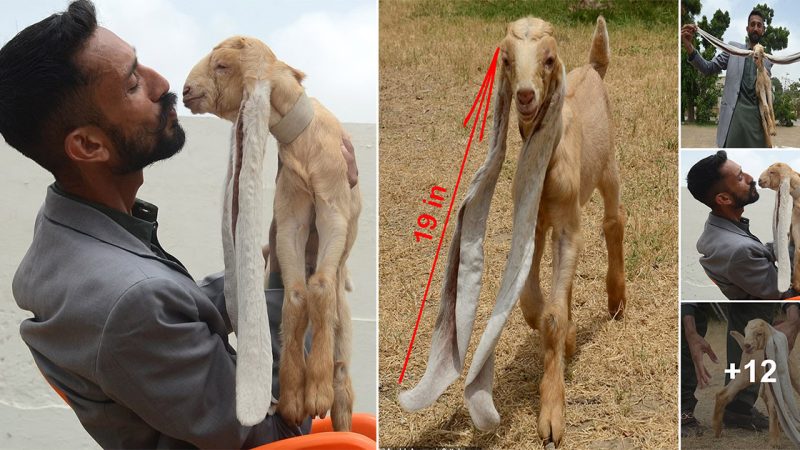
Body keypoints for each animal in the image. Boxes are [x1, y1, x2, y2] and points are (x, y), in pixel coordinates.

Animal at [184, 37, 360, 430]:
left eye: (222, 66)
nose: (185, 91)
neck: (305, 143)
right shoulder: (291, 216)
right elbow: (295, 294)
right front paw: (295, 398)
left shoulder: (333, 210)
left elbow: (319, 287)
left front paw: (317, 392)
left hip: (344, 303)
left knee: (343, 362)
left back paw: (338, 406)